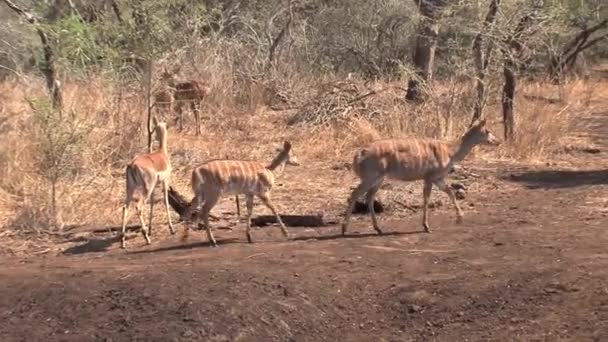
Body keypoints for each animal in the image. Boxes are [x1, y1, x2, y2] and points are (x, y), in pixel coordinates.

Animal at [119, 116, 175, 247]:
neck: (162, 153)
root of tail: (132, 165)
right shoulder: (165, 181)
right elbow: (165, 201)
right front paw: (171, 229)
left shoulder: (155, 187)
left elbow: (153, 203)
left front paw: (150, 230)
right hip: (145, 189)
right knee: (139, 207)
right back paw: (146, 238)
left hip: (130, 189)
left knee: (125, 208)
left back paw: (123, 241)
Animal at [342, 118, 498, 235]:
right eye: (487, 131)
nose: (497, 141)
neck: (450, 152)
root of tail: (357, 156)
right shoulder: (429, 176)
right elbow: (427, 198)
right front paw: (426, 227)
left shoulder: (438, 178)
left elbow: (450, 192)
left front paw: (460, 218)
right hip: (371, 177)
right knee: (355, 194)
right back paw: (344, 229)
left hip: (379, 179)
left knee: (369, 196)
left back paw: (378, 229)